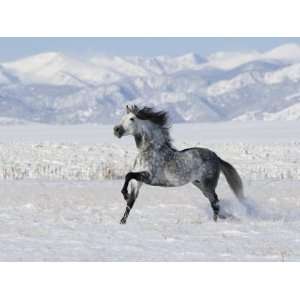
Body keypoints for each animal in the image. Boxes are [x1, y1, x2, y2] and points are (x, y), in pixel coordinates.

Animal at [113, 104, 245, 224]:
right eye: (123, 117)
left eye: (132, 119)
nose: (116, 130)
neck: (150, 151)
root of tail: (216, 157)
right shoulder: (137, 183)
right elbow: (130, 203)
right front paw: (122, 221)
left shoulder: (149, 177)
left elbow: (128, 175)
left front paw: (125, 194)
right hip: (200, 185)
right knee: (214, 201)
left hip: (208, 185)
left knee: (215, 202)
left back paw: (215, 222)